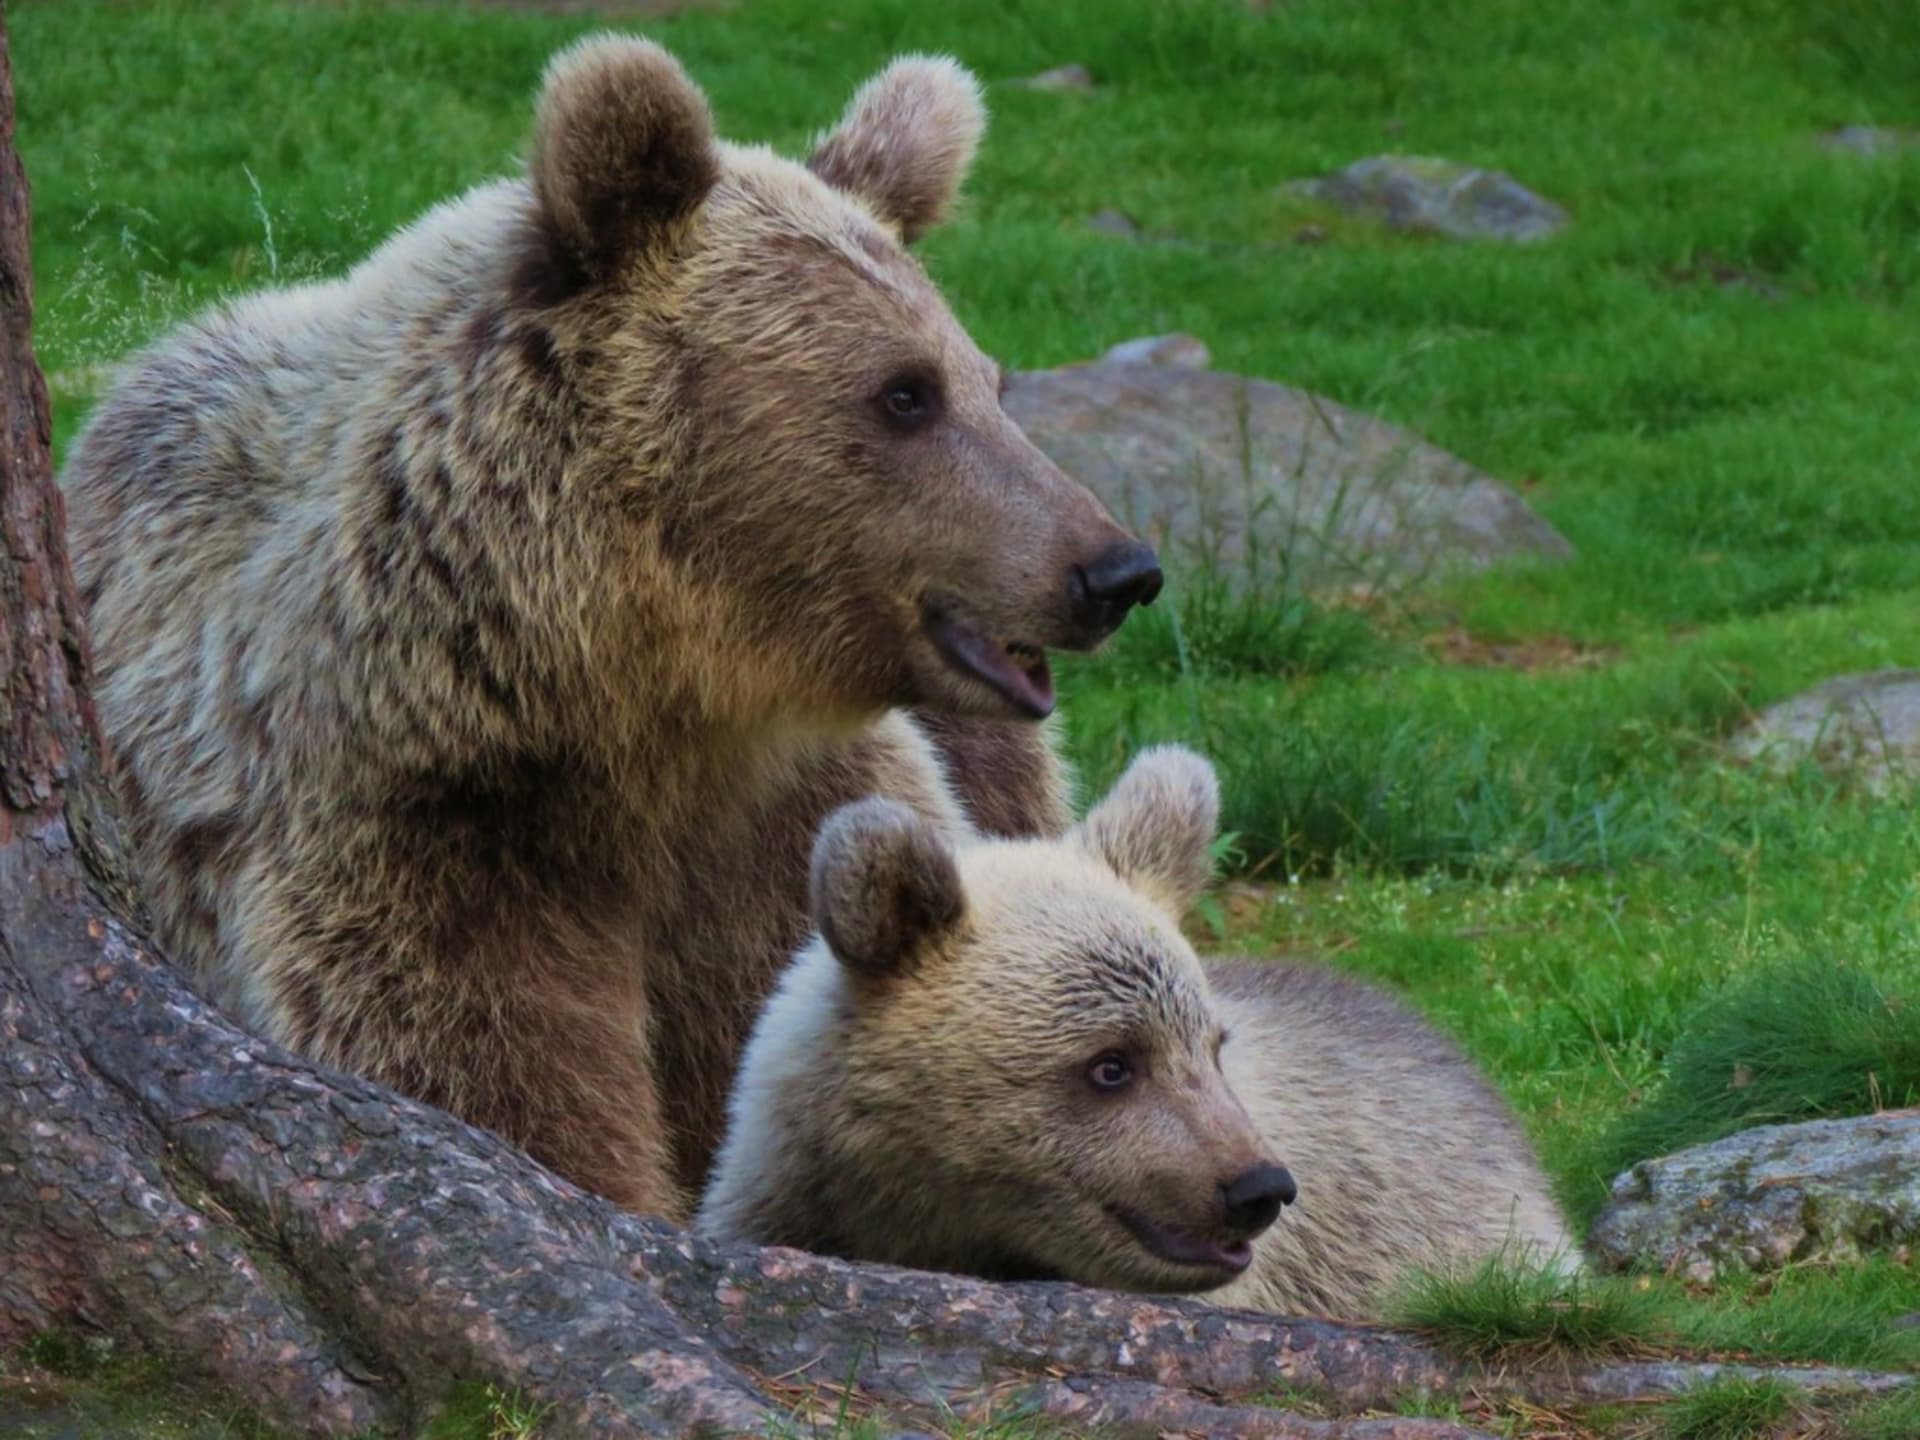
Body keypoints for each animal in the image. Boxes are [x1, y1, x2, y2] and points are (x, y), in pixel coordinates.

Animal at [60, 34, 1162, 1220]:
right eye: (905, 393)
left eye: (990, 380)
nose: (1114, 570)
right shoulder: (428, 837)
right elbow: (497, 1081)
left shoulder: (776, 827)